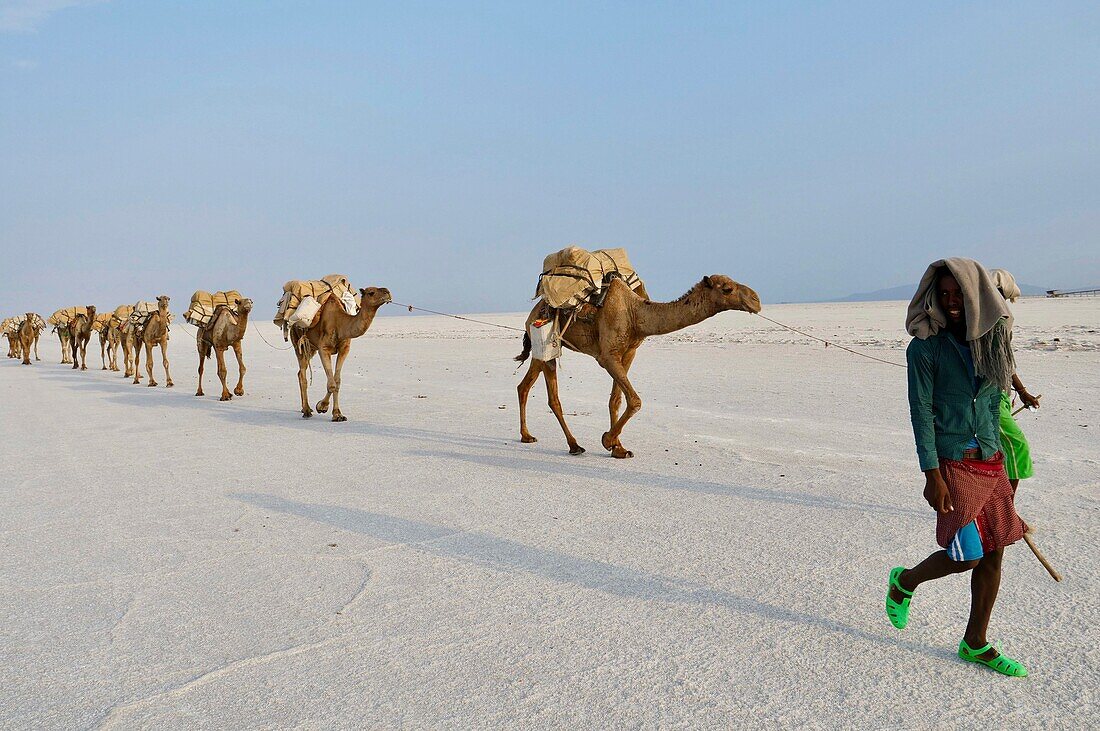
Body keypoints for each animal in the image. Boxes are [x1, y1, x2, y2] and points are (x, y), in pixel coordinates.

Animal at [292, 285, 391, 422]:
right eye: (371, 292)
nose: (388, 292)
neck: (339, 322)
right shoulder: (324, 349)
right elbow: (331, 383)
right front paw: (322, 407)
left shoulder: (345, 348)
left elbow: (337, 381)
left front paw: (338, 414)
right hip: (298, 343)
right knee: (302, 374)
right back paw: (306, 411)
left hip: (311, 348)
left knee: (300, 372)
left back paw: (304, 408)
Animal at [512, 273, 756, 457]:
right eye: (727, 289)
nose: (755, 299)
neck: (635, 312)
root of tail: (533, 312)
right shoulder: (607, 357)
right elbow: (635, 400)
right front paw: (607, 440)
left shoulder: (628, 353)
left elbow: (616, 400)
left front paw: (619, 448)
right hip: (546, 343)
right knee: (553, 397)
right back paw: (574, 445)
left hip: (541, 350)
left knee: (524, 386)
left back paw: (527, 436)